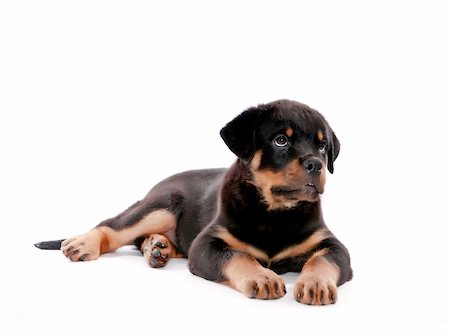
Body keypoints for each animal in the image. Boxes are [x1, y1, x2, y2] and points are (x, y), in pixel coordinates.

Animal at [36, 99, 352, 304]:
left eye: (322, 146)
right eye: (281, 141)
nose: (316, 165)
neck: (274, 213)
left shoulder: (332, 245)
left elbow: (323, 259)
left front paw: (316, 284)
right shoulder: (207, 244)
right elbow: (239, 256)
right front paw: (262, 277)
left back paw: (157, 247)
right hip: (162, 204)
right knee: (114, 227)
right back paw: (84, 243)